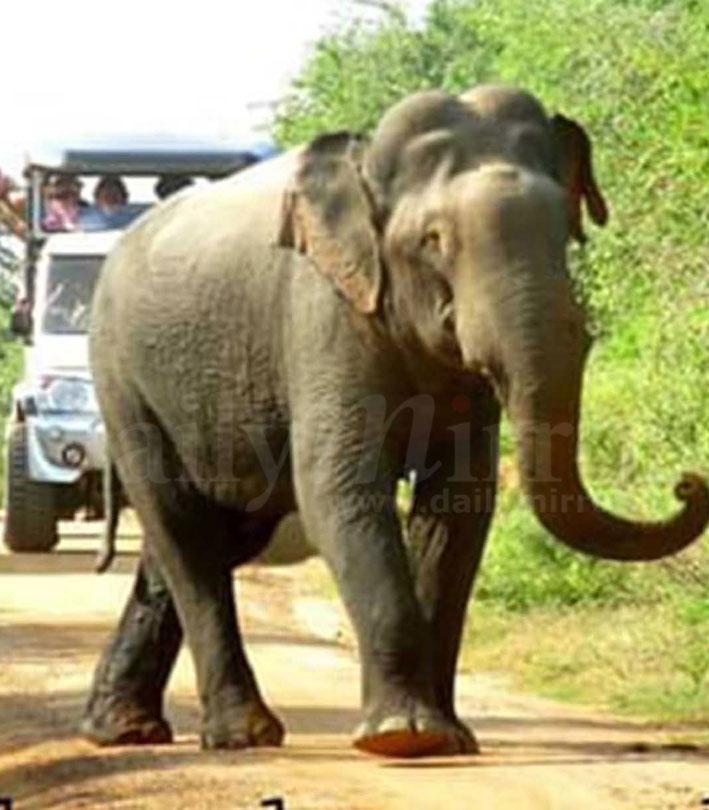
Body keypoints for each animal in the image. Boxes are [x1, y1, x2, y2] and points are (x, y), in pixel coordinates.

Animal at [80, 85, 704, 756]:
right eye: (433, 239)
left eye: (566, 228)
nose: (688, 482)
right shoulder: (322, 314)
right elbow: (340, 489)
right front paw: (402, 739)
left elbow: (459, 505)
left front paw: (446, 736)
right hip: (121, 381)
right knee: (183, 528)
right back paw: (242, 735)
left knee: (206, 537)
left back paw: (121, 728)